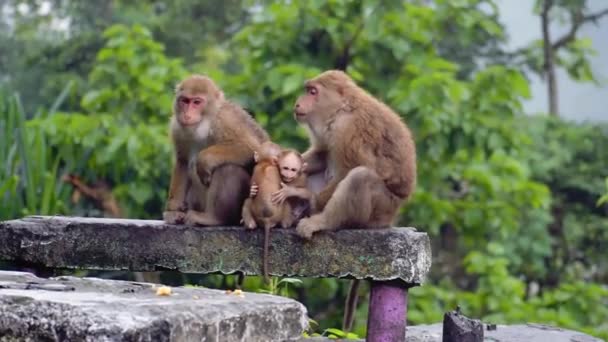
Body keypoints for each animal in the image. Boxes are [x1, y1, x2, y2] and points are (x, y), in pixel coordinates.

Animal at [163, 74, 268, 227]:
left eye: (197, 102)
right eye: (185, 101)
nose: (187, 115)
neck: (204, 124)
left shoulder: (225, 120)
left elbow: (253, 148)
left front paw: (204, 160)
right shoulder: (177, 128)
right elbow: (183, 161)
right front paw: (173, 211)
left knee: (228, 168)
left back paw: (213, 218)